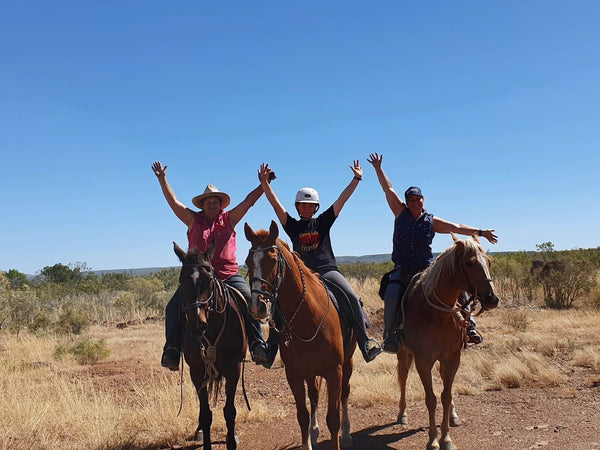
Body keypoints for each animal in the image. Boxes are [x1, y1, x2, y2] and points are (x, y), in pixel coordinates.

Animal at [172, 243, 247, 450]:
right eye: (182, 280)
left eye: (209, 280)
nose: (197, 324)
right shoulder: (197, 371)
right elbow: (205, 413)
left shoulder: (234, 369)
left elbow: (230, 411)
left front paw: (231, 441)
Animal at [244, 221, 356, 450]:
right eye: (247, 262)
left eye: (273, 260)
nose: (257, 307)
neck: (307, 318)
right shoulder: (294, 374)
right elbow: (302, 415)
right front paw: (308, 438)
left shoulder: (334, 371)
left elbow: (333, 418)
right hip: (311, 372)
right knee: (314, 396)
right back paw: (314, 431)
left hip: (347, 363)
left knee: (345, 393)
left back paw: (347, 434)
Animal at [396, 234, 500, 448]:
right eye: (469, 263)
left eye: (489, 262)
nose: (492, 299)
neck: (438, 315)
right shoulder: (423, 361)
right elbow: (431, 399)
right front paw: (433, 440)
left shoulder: (452, 358)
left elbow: (446, 395)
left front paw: (446, 438)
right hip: (403, 353)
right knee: (403, 377)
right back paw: (402, 414)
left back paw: (453, 416)